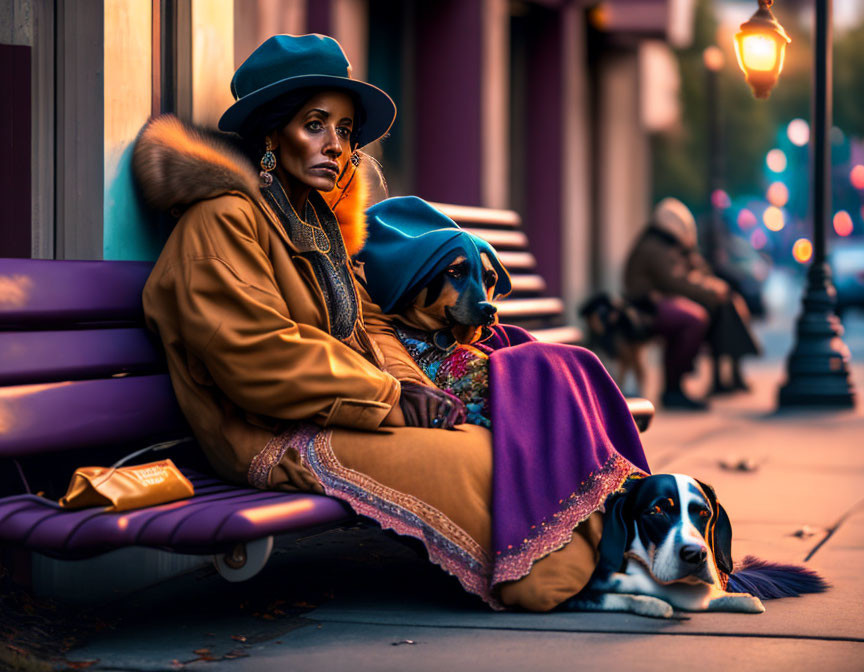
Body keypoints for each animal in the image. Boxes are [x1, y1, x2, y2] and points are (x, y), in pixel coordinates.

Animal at [564, 472, 828, 620]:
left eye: (704, 512)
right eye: (656, 511)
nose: (694, 555)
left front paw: (741, 599)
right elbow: (619, 596)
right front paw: (654, 604)